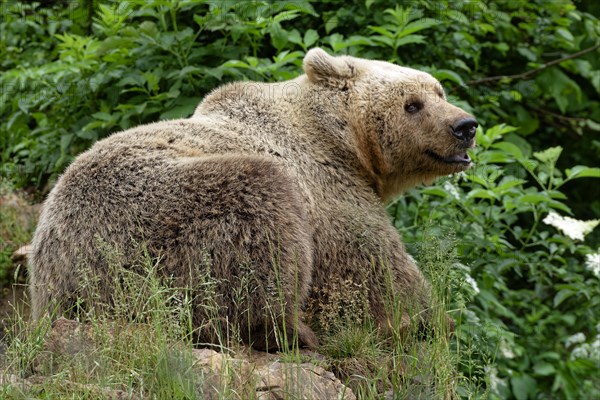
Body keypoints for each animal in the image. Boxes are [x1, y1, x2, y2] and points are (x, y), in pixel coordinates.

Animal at [30, 49, 476, 350]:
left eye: (439, 90)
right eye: (412, 104)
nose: (465, 125)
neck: (344, 142)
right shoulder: (326, 187)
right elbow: (373, 263)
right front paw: (428, 320)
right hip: (152, 221)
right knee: (260, 214)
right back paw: (293, 331)